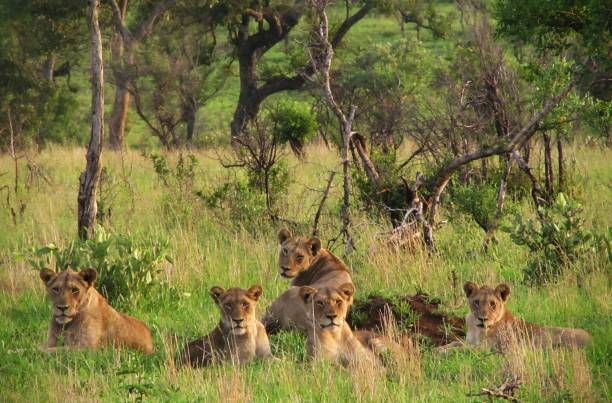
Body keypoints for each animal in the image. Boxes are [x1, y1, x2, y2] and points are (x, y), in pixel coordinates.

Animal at [440, 282, 592, 352]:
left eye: (493, 304)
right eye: (476, 302)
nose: (483, 319)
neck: (477, 329)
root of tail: (593, 341)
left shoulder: (486, 347)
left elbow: (459, 349)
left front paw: (438, 355)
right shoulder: (470, 341)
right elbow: (454, 344)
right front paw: (438, 349)